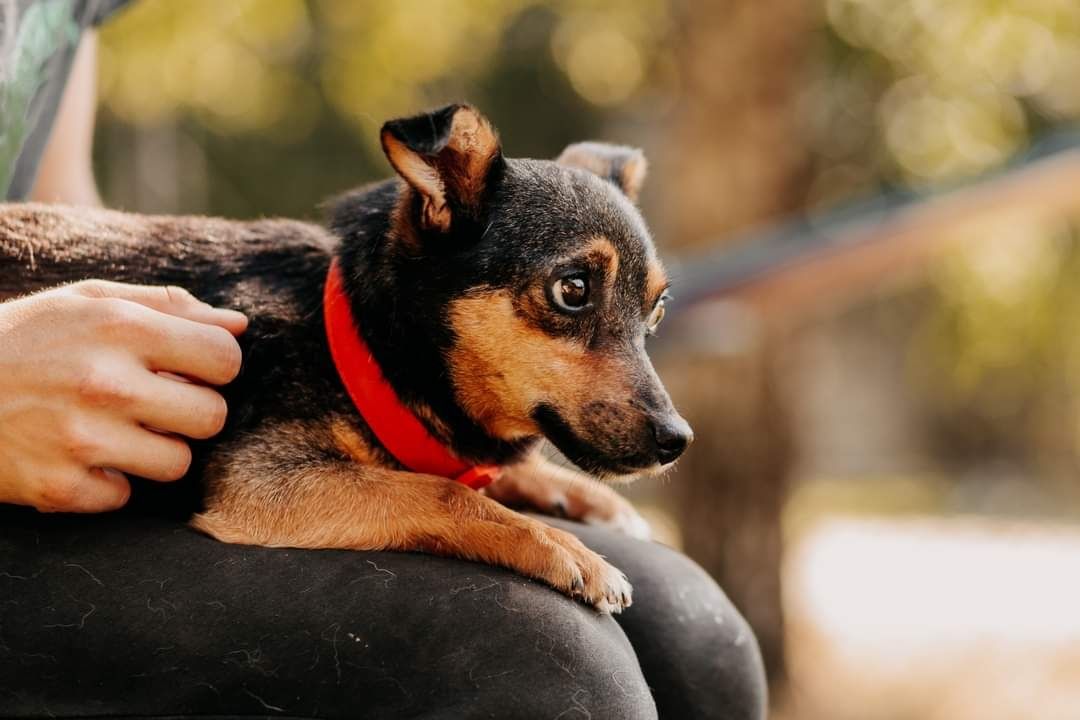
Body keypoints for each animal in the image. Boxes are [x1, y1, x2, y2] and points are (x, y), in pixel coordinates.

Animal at [0, 105, 691, 613]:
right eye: (572, 290)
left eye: (657, 309)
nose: (676, 440)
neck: (363, 340)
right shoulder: (263, 483)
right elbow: (443, 492)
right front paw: (569, 550)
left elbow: (463, 472)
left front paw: (589, 502)